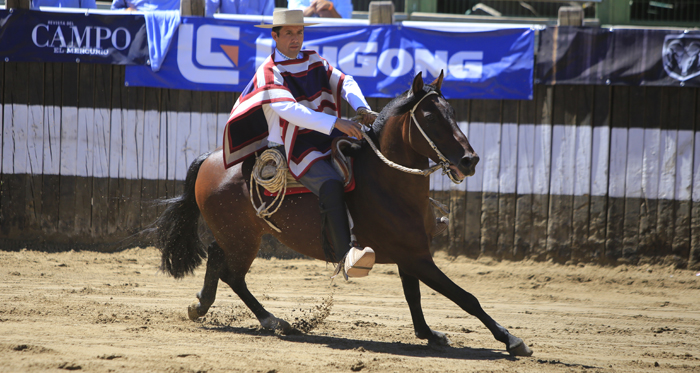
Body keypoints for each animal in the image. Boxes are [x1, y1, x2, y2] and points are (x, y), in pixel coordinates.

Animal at [153, 71, 532, 356]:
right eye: (428, 117)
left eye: (451, 112)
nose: (469, 160)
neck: (387, 183)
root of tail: (211, 159)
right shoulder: (418, 256)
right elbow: (465, 296)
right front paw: (512, 339)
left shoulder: (410, 254)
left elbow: (413, 295)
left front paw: (429, 334)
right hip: (243, 238)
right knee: (233, 274)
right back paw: (273, 321)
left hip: (240, 234)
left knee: (216, 257)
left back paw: (201, 305)